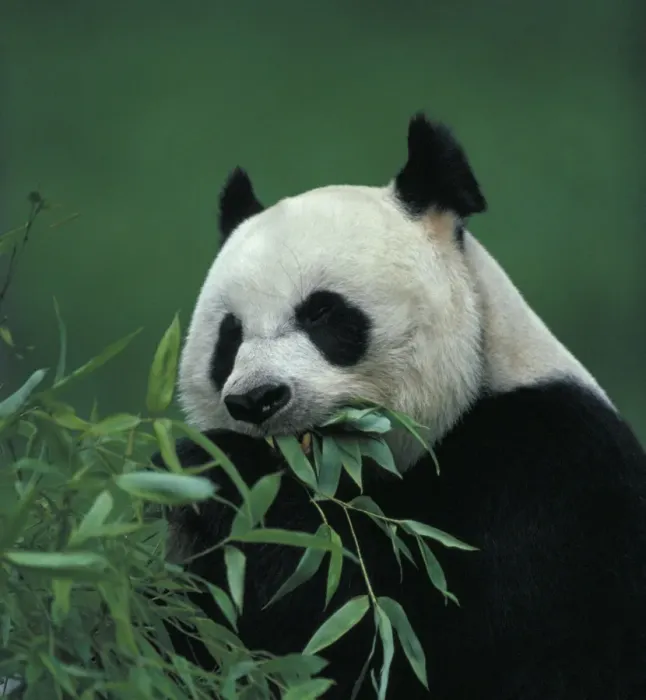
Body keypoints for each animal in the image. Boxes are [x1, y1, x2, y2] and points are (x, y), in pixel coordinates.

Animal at [154, 113, 646, 699]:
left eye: (322, 313)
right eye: (229, 337)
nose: (256, 399)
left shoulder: (554, 473)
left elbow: (420, 641)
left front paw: (224, 474)